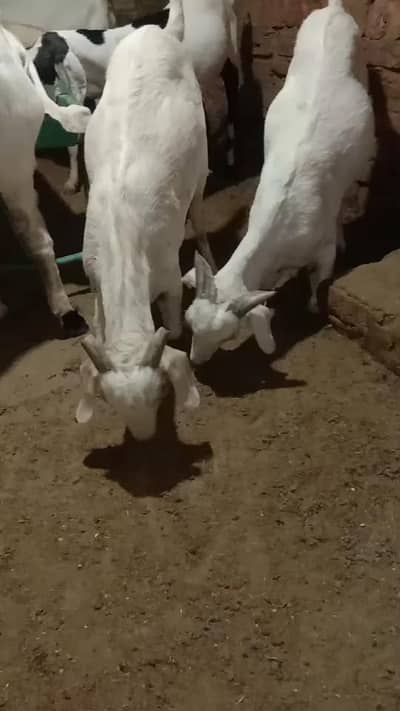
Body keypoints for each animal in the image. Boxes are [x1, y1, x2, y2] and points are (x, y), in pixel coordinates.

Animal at [76, 1, 210, 440]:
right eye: (111, 403)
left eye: (160, 394)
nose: (145, 438)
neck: (123, 240)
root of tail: (159, 31)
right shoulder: (94, 274)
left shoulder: (168, 275)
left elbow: (176, 328)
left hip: (201, 163)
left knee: (199, 210)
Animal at [184, 0, 376, 365]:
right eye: (190, 323)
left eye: (228, 334)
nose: (196, 361)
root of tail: (333, 9)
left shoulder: (322, 250)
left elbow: (320, 281)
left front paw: (313, 306)